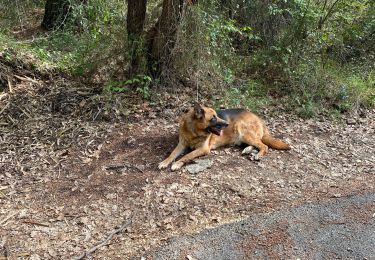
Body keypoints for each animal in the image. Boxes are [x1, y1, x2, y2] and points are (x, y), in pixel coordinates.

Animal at [159, 103, 290, 171]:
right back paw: (247, 150)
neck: (194, 132)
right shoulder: (182, 144)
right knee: (256, 144)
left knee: (264, 145)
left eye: (217, 116)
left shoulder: (203, 149)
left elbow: (187, 155)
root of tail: (258, 117)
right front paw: (165, 162)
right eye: (213, 118)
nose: (227, 124)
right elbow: (172, 154)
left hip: (242, 131)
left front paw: (177, 163)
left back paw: (258, 154)